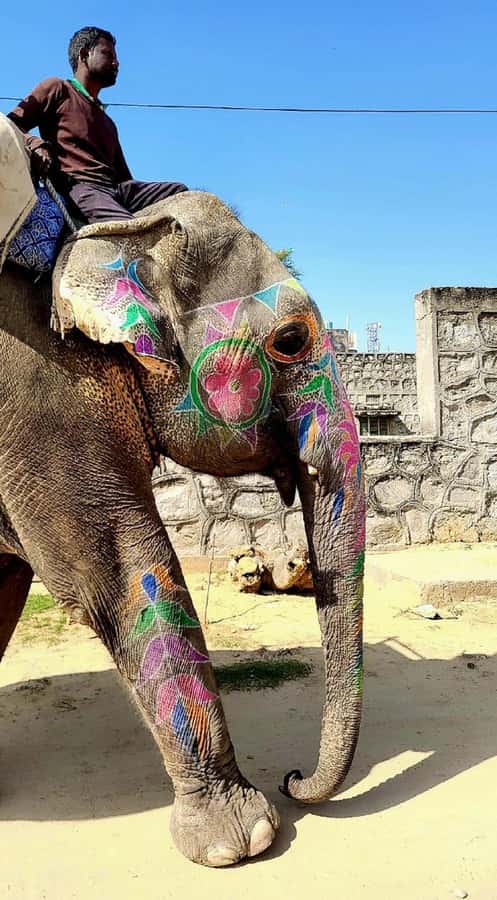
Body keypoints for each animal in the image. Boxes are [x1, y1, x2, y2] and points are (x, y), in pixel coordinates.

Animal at [0, 190, 365, 867]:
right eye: (291, 339)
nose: (294, 777)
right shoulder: (35, 395)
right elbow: (111, 570)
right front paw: (239, 843)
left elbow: (4, 586)